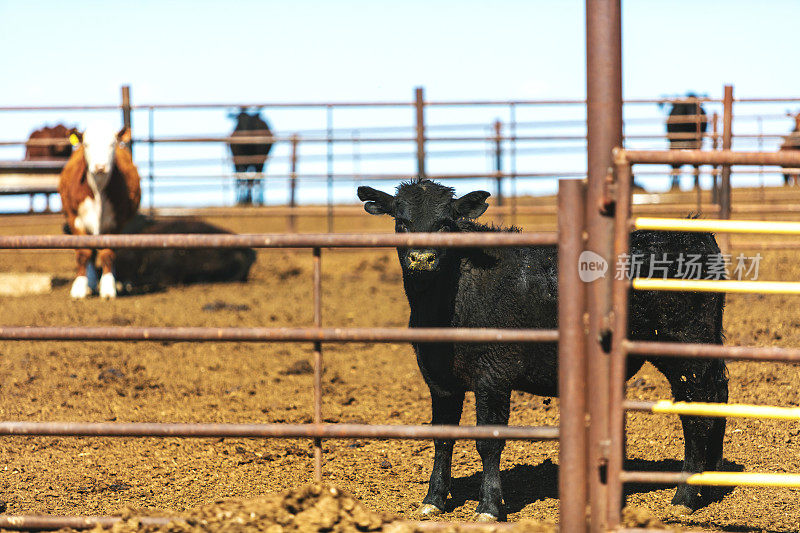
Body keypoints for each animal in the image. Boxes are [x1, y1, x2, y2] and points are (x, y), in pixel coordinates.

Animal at [57, 125, 141, 300]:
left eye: (112, 144)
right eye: (87, 144)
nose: (100, 166)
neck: (98, 190)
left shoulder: (115, 222)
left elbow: (108, 253)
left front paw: (108, 287)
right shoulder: (75, 219)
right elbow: (84, 253)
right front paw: (79, 288)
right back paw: (90, 283)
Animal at [360, 179, 728, 520]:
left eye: (446, 222)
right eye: (401, 221)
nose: (422, 258)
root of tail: (695, 235)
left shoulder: (494, 373)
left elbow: (488, 439)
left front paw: (489, 506)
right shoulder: (438, 377)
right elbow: (442, 436)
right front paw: (433, 500)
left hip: (686, 350)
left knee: (696, 413)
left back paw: (684, 496)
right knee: (717, 395)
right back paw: (709, 481)